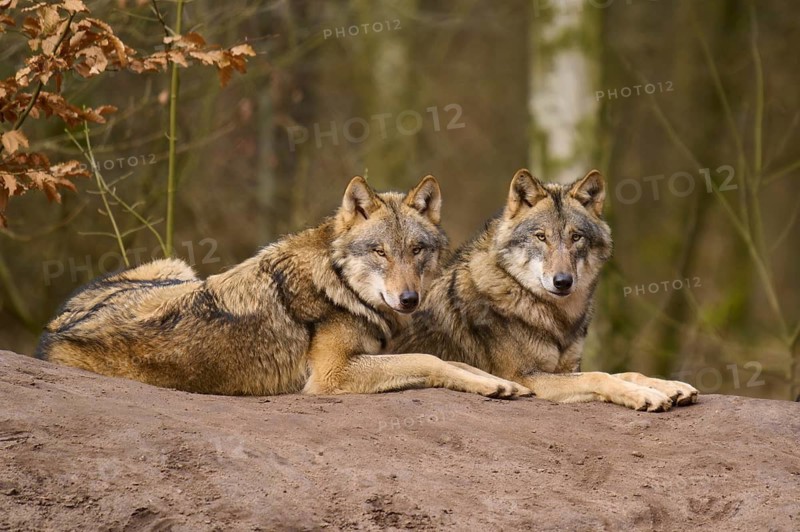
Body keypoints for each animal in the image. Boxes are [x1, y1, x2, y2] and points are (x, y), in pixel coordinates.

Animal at [37, 175, 529, 398]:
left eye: (416, 250)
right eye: (380, 252)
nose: (408, 299)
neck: (340, 284)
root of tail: (50, 332)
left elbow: (454, 359)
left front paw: (503, 383)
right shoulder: (331, 375)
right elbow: (430, 358)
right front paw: (491, 386)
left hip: (177, 265)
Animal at [392, 168, 698, 412]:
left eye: (576, 237)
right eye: (541, 237)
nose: (562, 281)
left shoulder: (568, 368)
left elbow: (626, 373)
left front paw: (670, 386)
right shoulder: (524, 376)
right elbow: (601, 376)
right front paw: (647, 396)